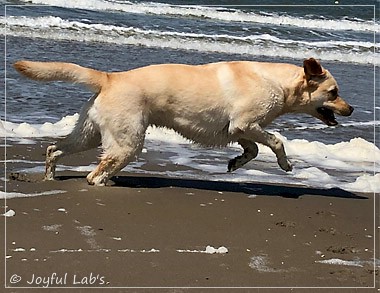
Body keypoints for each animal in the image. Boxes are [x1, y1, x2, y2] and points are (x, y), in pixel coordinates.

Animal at [14, 57, 354, 185]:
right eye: (334, 92)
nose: (351, 109)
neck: (279, 84)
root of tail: (110, 77)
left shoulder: (239, 129)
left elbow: (253, 149)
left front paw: (235, 163)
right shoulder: (246, 124)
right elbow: (276, 141)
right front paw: (285, 165)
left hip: (90, 134)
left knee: (54, 149)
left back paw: (49, 176)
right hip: (127, 141)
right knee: (94, 174)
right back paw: (102, 181)